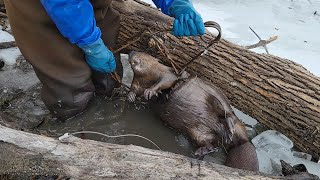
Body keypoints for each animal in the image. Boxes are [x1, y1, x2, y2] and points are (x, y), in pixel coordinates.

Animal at [126, 51, 258, 172]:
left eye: (143, 53)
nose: (132, 52)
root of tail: (244, 141)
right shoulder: (138, 80)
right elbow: (135, 88)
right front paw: (131, 96)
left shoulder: (168, 72)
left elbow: (167, 80)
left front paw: (151, 91)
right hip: (197, 133)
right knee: (212, 143)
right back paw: (201, 151)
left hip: (216, 95)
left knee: (229, 114)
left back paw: (229, 130)